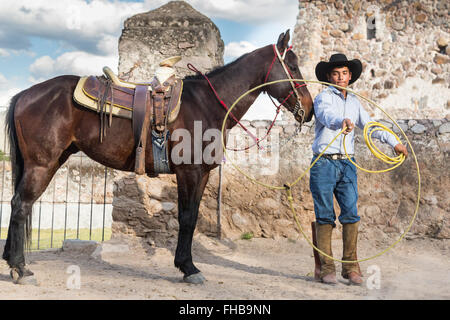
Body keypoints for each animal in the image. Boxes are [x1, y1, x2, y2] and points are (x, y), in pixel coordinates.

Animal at [2, 30, 312, 284]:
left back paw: (14, 263)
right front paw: (188, 268)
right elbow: (187, 218)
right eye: (293, 66)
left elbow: (192, 217)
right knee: (20, 205)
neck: (206, 104)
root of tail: (25, 94)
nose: (308, 110)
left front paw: (186, 265)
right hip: (41, 165)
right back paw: (20, 269)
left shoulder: (202, 174)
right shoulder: (189, 172)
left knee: (20, 204)